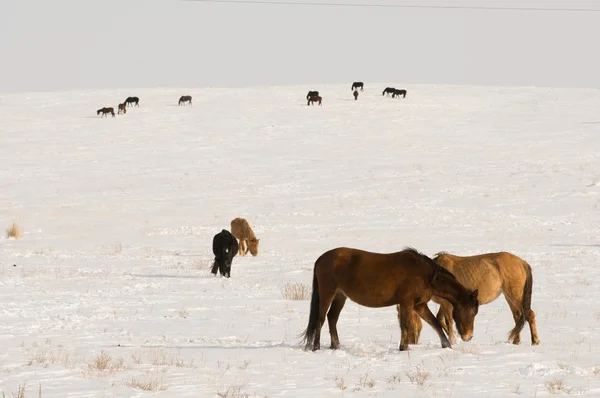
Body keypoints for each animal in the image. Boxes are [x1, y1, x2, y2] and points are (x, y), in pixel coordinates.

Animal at [300, 246, 478, 352]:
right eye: (471, 312)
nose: (468, 337)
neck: (426, 275)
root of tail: (322, 258)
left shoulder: (419, 305)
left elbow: (434, 322)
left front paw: (446, 345)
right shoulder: (407, 303)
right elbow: (406, 325)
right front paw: (403, 348)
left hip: (340, 296)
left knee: (332, 318)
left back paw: (335, 346)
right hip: (327, 293)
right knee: (321, 319)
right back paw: (316, 347)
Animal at [410, 252, 540, 346]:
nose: (413, 343)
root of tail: (522, 263)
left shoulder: (447, 304)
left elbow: (448, 322)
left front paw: (453, 341)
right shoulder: (445, 304)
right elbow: (440, 320)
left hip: (514, 295)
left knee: (528, 314)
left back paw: (534, 341)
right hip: (510, 297)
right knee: (518, 317)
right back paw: (516, 341)